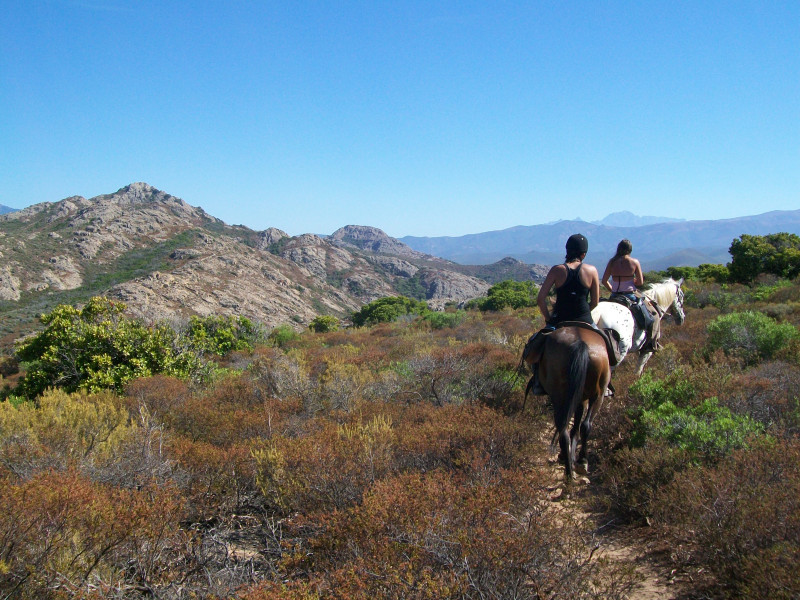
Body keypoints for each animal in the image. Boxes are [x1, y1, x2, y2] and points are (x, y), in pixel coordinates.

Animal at [524, 326, 612, 480]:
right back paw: (575, 466)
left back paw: (572, 466)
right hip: (596, 396)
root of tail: (580, 343)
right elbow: (576, 427)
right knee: (581, 426)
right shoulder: (581, 399)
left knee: (572, 427)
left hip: (567, 396)